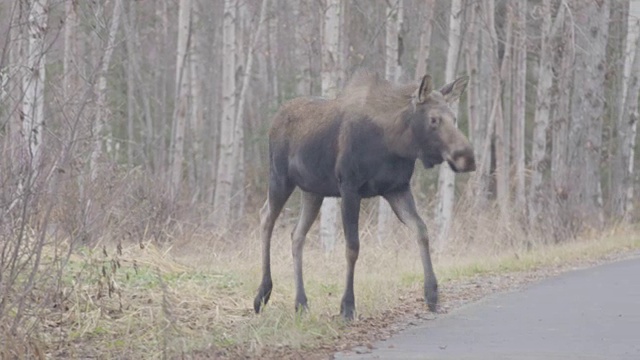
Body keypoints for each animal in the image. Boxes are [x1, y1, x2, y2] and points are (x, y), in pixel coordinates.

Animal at [255, 71, 476, 320]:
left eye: (454, 118)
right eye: (434, 120)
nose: (467, 157)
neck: (396, 144)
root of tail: (274, 120)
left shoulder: (396, 188)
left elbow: (422, 230)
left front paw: (432, 294)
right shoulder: (350, 188)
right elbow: (353, 247)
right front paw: (347, 306)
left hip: (313, 191)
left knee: (296, 234)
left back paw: (301, 302)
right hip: (280, 178)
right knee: (266, 217)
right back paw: (262, 293)